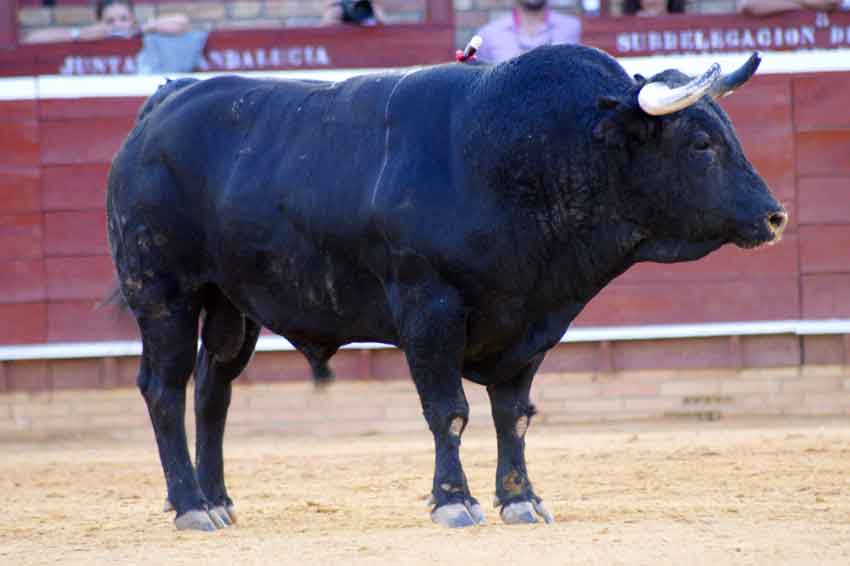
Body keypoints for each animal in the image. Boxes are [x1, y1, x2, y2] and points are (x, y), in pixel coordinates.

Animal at [107, 45, 788, 532]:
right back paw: (191, 507)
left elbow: (513, 415)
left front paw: (522, 500)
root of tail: (162, 103)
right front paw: (454, 502)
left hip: (230, 304)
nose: (775, 216)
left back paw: (219, 500)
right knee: (164, 389)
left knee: (212, 391)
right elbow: (449, 410)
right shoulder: (429, 311)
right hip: (162, 293)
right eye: (701, 143)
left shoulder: (529, 322)